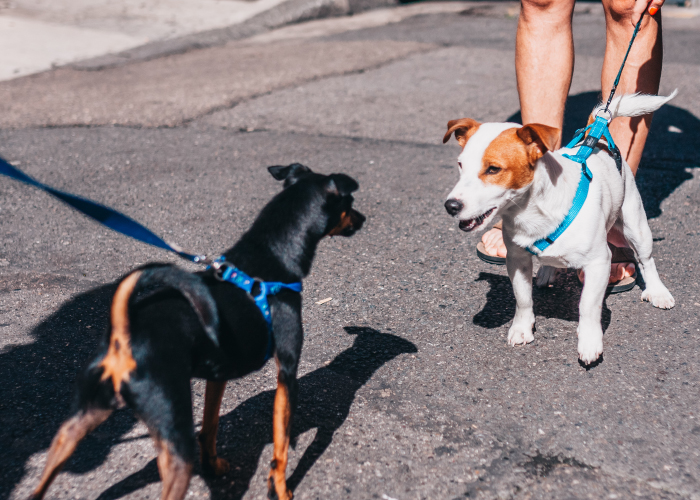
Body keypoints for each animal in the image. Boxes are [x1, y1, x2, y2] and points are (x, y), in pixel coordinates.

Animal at [29, 165, 364, 500]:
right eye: (349, 202)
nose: (363, 219)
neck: (271, 254)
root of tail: (124, 339)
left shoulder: (219, 374)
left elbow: (211, 425)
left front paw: (213, 466)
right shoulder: (288, 374)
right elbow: (280, 450)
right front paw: (280, 490)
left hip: (80, 421)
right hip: (175, 442)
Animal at [446, 94, 676, 366]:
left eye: (493, 169)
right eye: (460, 165)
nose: (450, 206)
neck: (531, 212)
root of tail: (596, 138)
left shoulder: (599, 263)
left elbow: (588, 306)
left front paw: (589, 342)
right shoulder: (517, 259)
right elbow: (522, 298)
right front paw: (522, 328)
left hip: (635, 225)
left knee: (646, 260)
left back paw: (657, 291)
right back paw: (546, 271)